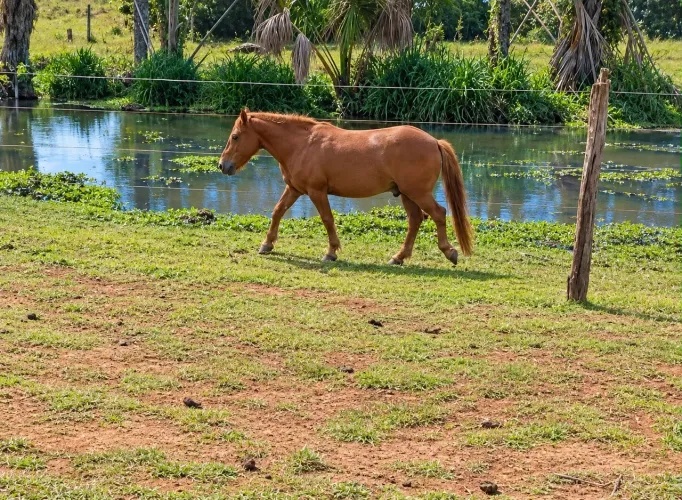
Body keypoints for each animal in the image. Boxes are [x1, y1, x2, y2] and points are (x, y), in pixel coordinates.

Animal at [219, 109, 473, 266]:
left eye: (235, 136)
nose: (223, 165)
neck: (302, 144)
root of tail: (434, 142)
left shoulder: (316, 192)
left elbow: (327, 219)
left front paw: (331, 252)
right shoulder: (294, 189)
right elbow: (277, 212)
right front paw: (267, 244)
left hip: (418, 193)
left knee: (438, 214)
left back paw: (449, 252)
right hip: (407, 194)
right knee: (415, 220)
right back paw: (398, 257)